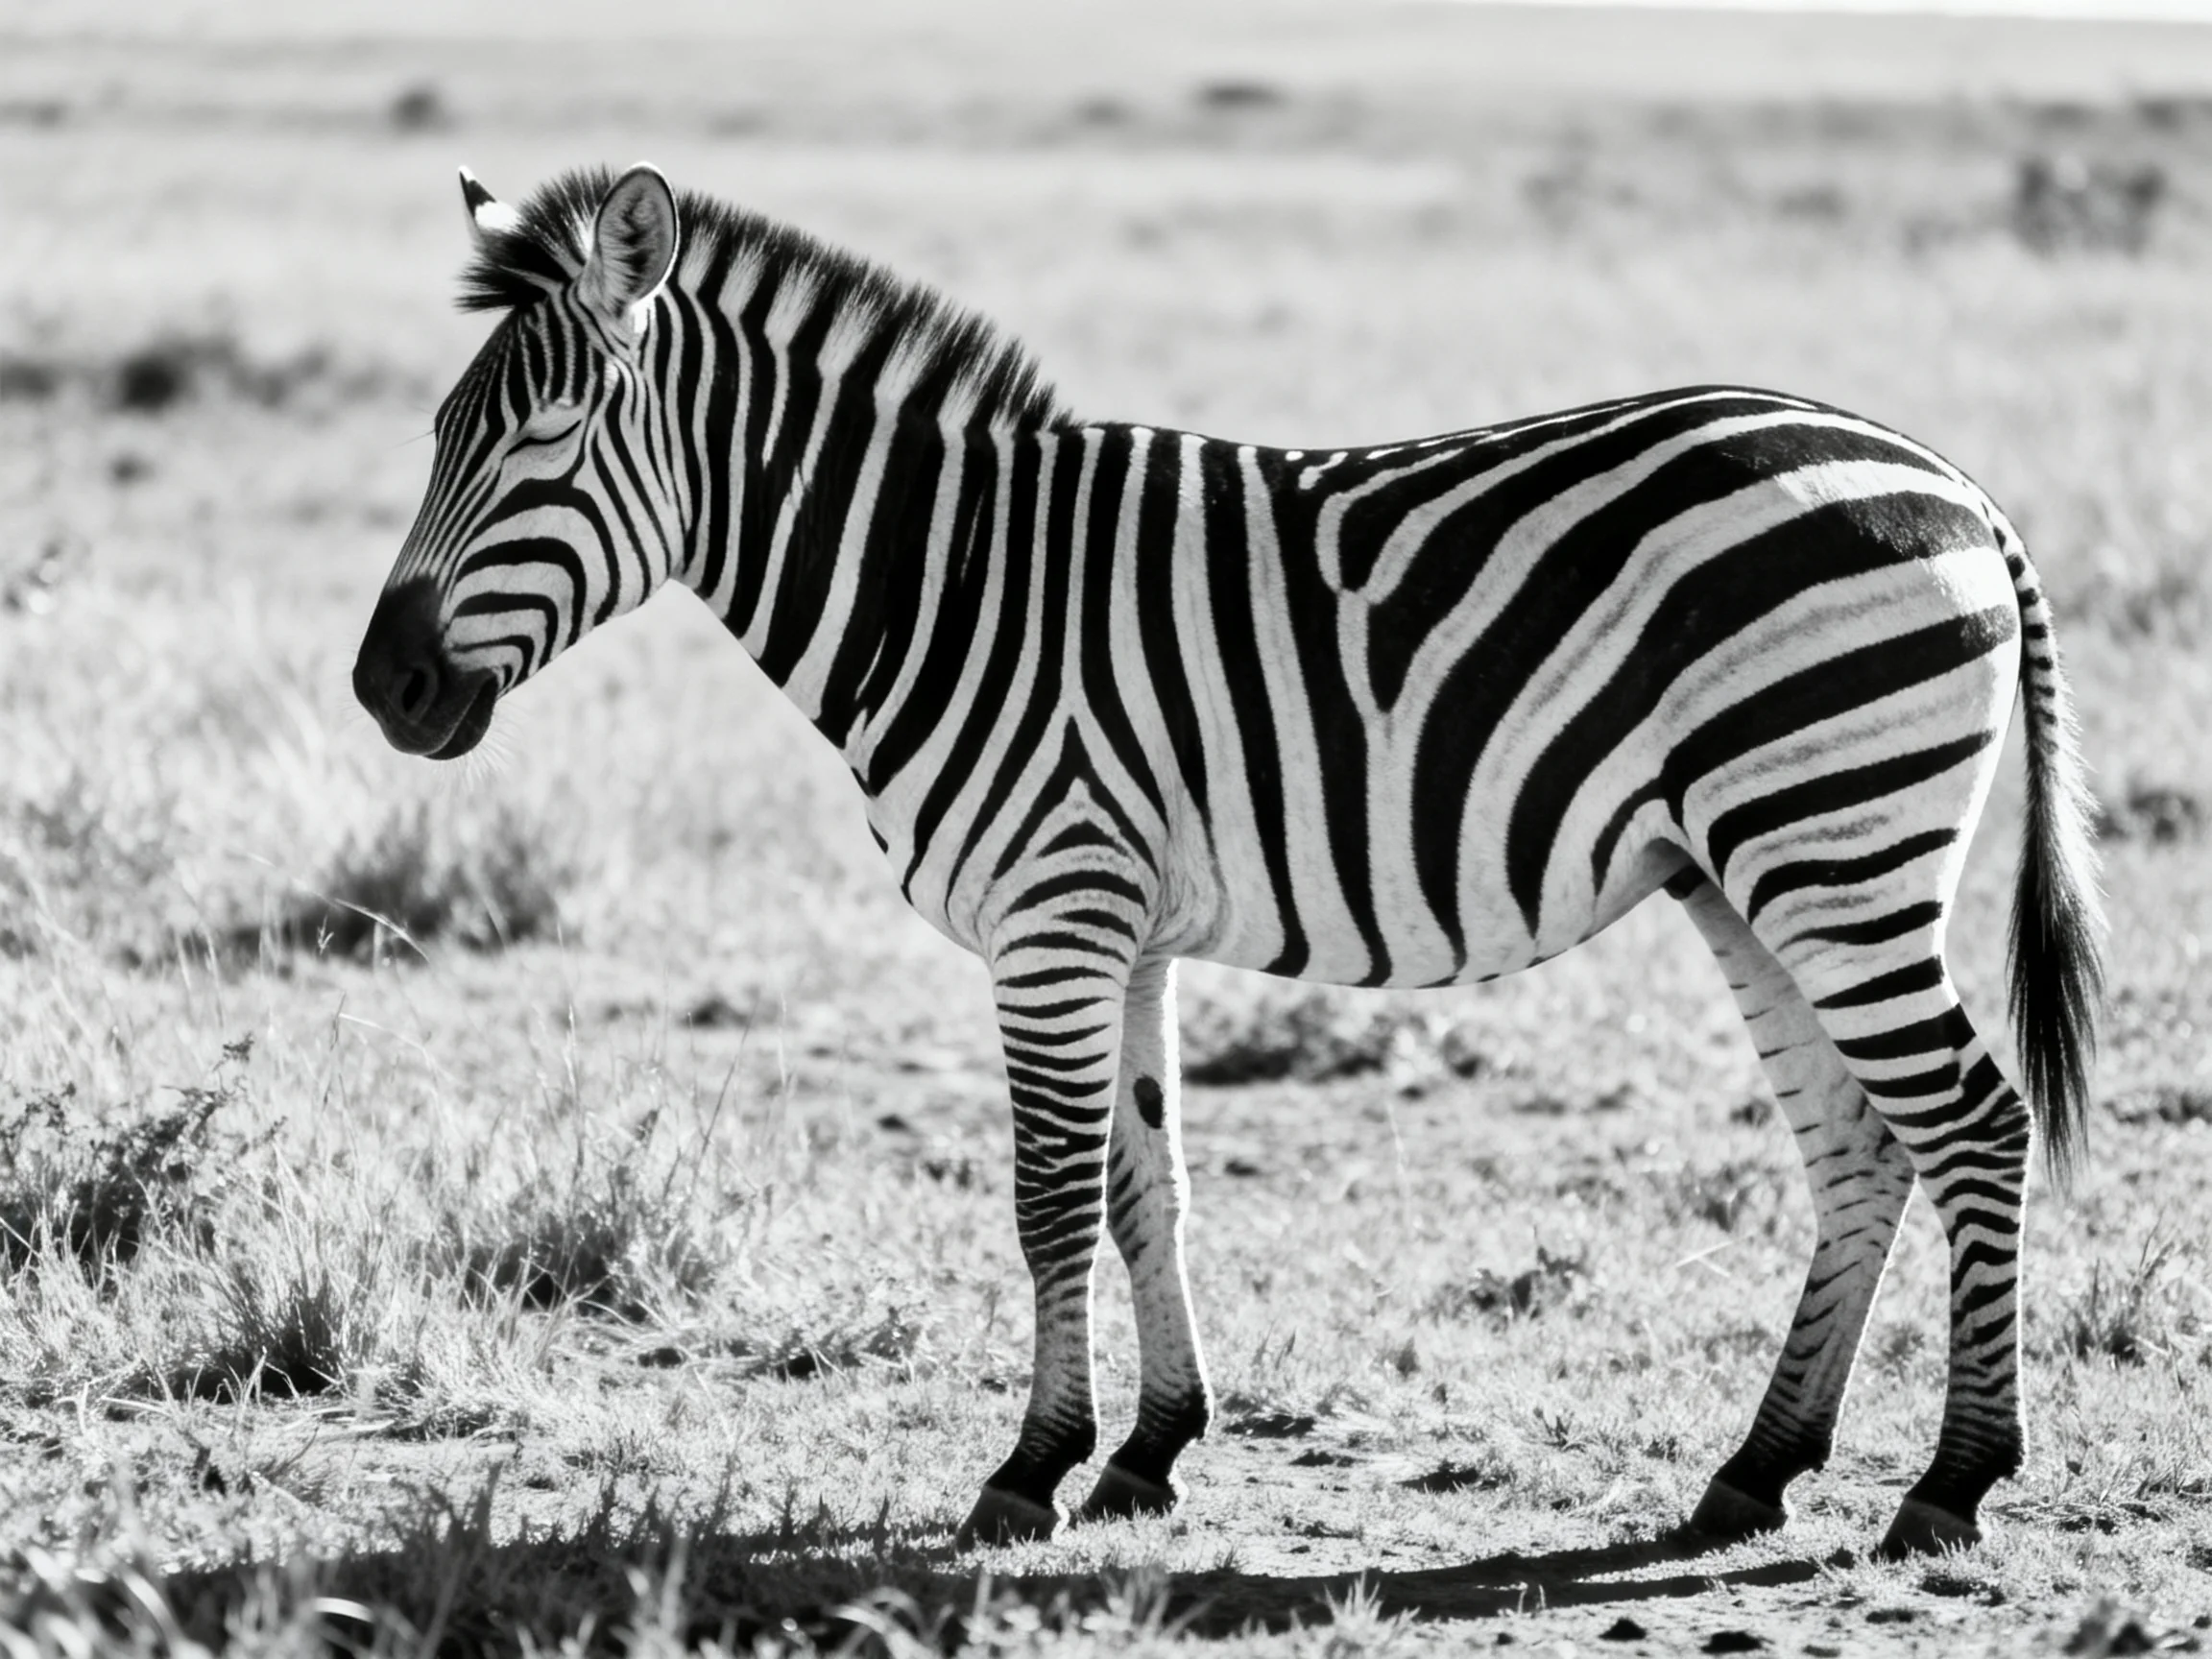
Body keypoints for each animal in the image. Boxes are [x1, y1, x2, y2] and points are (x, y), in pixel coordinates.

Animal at [353, 164, 2102, 1560]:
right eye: (435, 433)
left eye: (546, 441)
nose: (387, 689)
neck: (948, 583)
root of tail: (1959, 489)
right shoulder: (1113, 926)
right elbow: (1147, 1187)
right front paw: (1148, 1450)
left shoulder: (1052, 915)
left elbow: (1049, 1197)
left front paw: (1028, 1470)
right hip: (1747, 872)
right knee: (1860, 1148)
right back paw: (1754, 1470)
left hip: (1835, 848)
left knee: (1971, 1121)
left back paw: (1948, 1484)